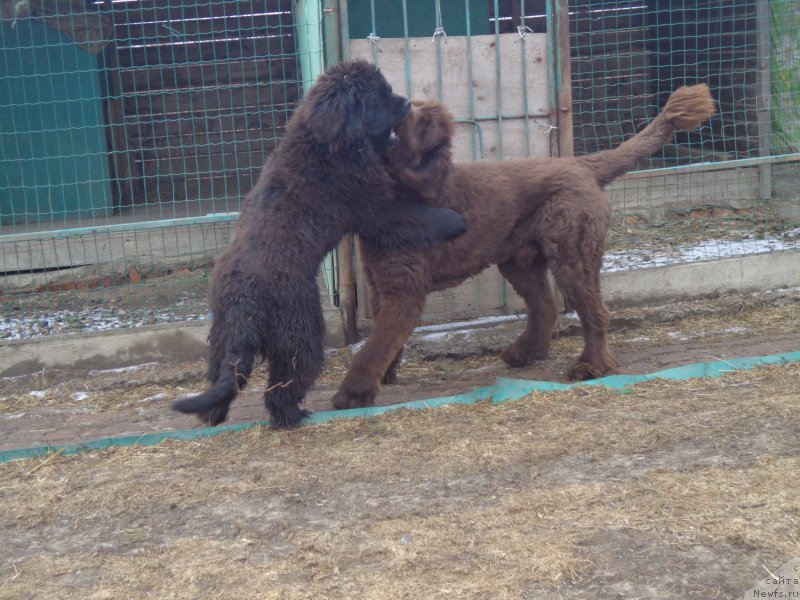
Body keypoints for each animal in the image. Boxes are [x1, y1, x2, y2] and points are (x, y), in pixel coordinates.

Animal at [172, 59, 466, 426]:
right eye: (380, 96)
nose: (407, 102)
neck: (324, 143)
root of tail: (244, 301)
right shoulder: (374, 208)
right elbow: (416, 216)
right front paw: (455, 220)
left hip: (222, 336)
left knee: (224, 374)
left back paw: (213, 415)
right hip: (300, 328)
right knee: (287, 380)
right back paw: (292, 414)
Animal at [332, 83, 712, 408]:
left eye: (424, 123)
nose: (404, 103)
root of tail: (583, 164)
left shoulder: (404, 291)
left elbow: (375, 345)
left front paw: (353, 394)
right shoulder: (380, 282)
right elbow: (383, 340)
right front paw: (386, 375)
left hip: (572, 257)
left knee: (594, 313)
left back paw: (591, 366)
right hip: (521, 261)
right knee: (546, 307)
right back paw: (525, 352)